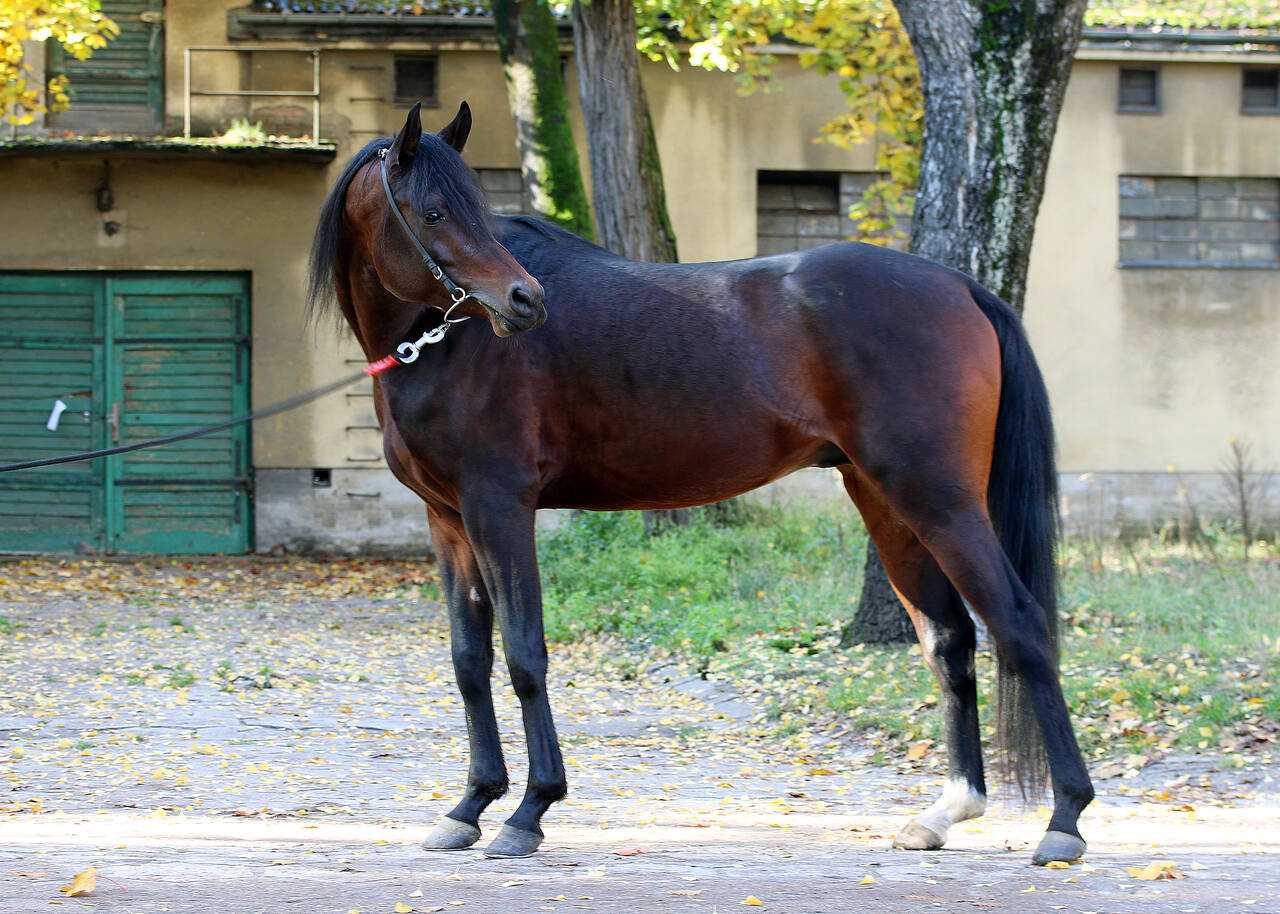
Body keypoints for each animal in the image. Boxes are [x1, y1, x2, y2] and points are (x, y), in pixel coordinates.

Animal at [307, 100, 1094, 865]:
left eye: (473, 206)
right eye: (435, 211)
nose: (524, 301)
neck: (450, 346)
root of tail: (960, 286)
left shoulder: (499, 507)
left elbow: (525, 654)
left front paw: (530, 812)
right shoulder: (448, 521)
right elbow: (470, 662)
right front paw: (469, 806)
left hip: (941, 500)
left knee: (1021, 625)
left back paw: (1065, 821)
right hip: (886, 500)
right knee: (948, 639)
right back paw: (947, 811)